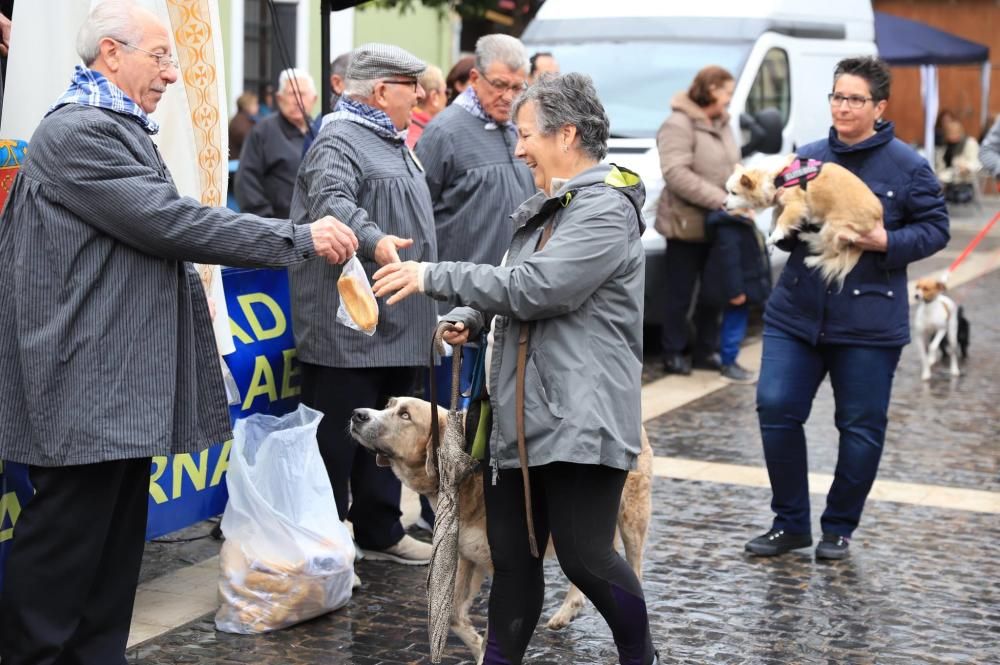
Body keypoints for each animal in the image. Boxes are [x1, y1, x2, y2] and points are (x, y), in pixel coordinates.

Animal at [348, 396, 652, 660]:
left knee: (632, 570)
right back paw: (568, 610)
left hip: (631, 515)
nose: (358, 414)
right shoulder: (467, 557)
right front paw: (478, 646)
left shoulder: (501, 565)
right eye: (388, 405)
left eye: (405, 415)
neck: (465, 480)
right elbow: (455, 616)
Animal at [728, 153, 884, 288]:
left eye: (733, 193)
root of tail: (878, 218)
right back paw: (807, 236)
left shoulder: (796, 205)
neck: (774, 177)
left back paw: (813, 260)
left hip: (833, 227)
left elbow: (783, 219)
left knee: (832, 251)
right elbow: (775, 214)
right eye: (728, 191)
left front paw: (775, 235)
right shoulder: (781, 201)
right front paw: (772, 229)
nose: (724, 203)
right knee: (823, 242)